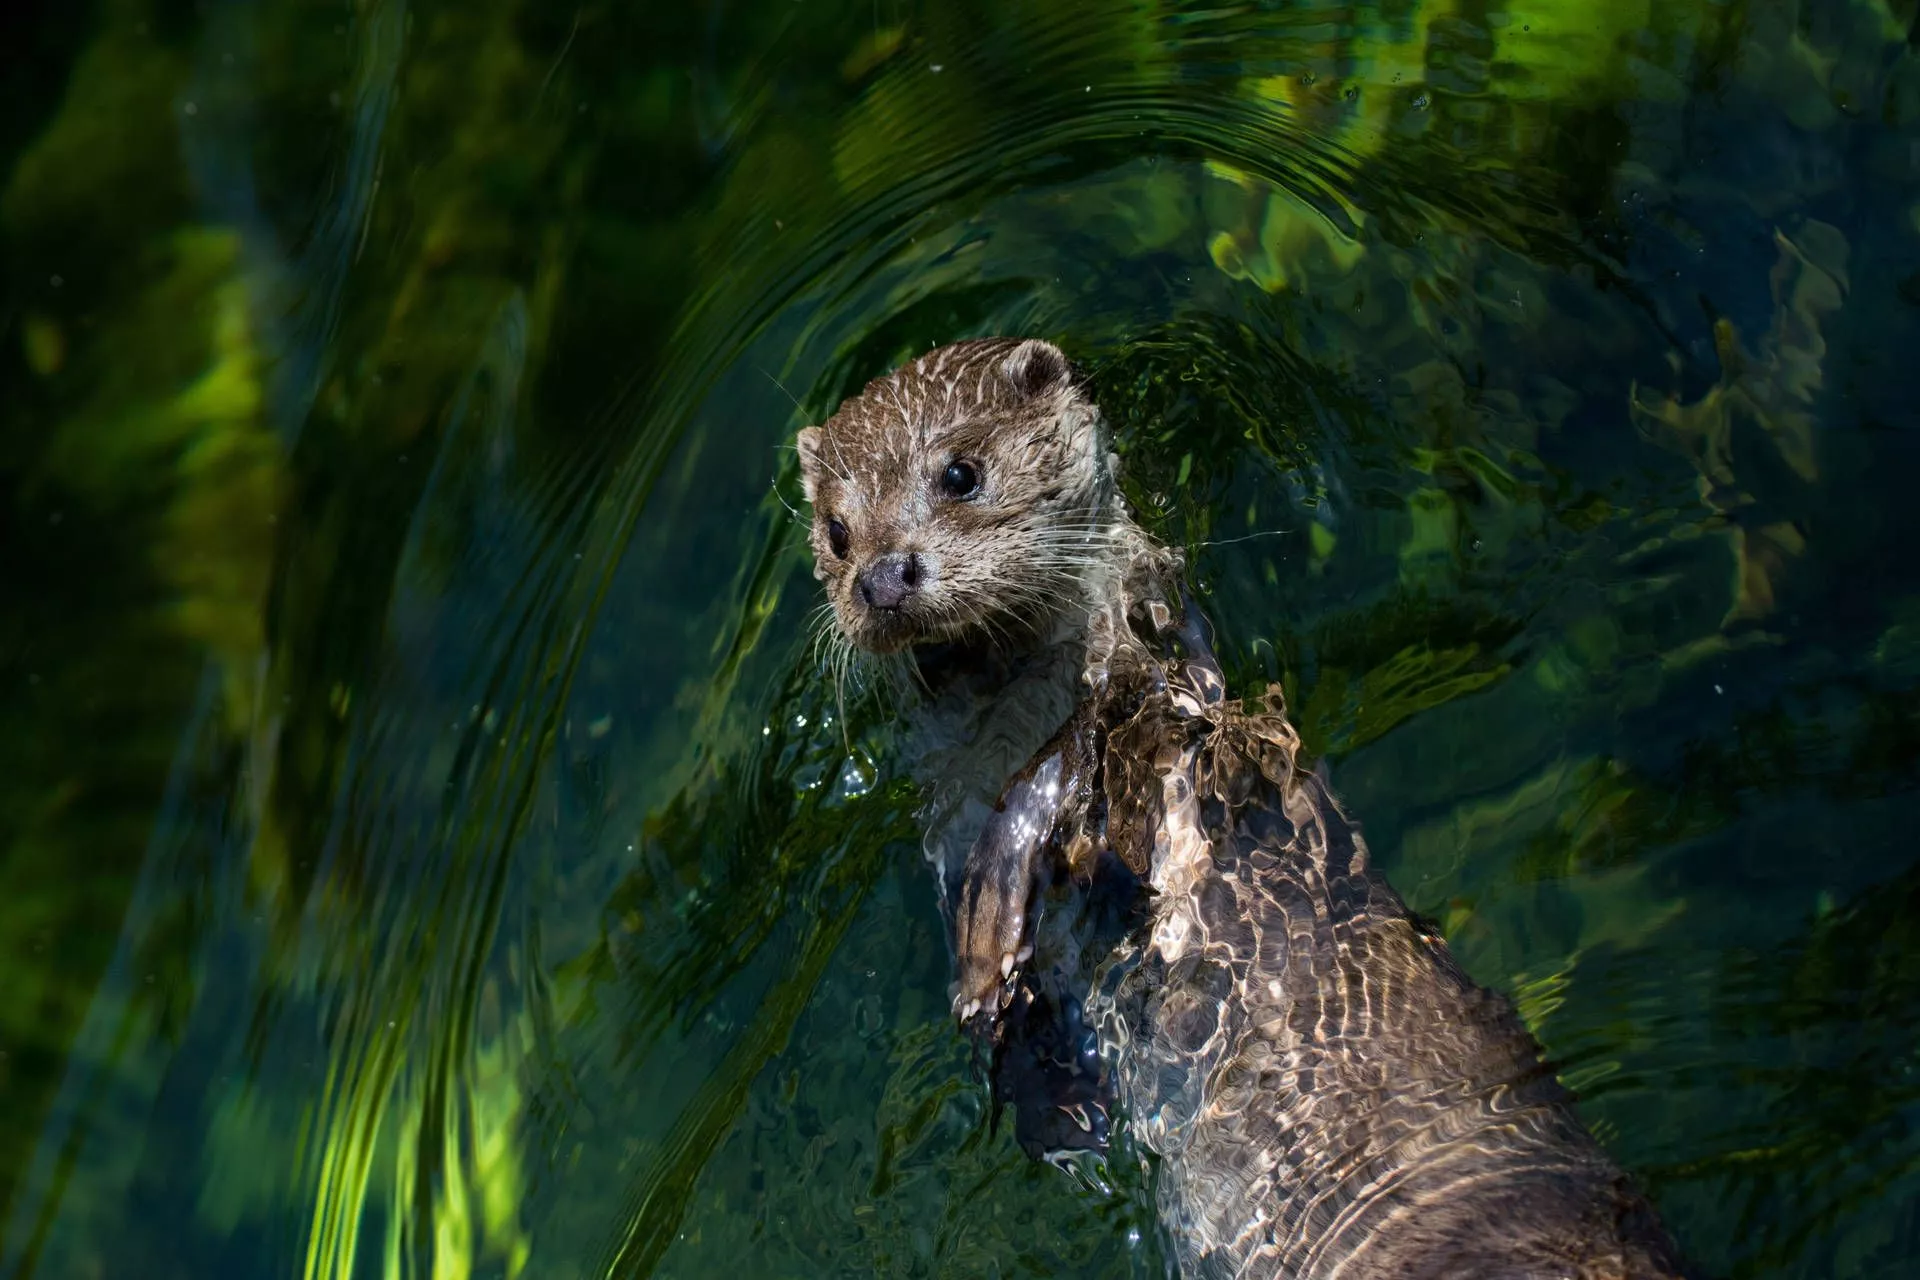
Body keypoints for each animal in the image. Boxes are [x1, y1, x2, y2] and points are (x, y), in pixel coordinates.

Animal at [795, 338, 1689, 1279]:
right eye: (837, 532)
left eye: (960, 473)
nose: (881, 576)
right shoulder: (951, 823)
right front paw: (1048, 1092)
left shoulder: (1160, 712)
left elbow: (1071, 794)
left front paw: (998, 935)